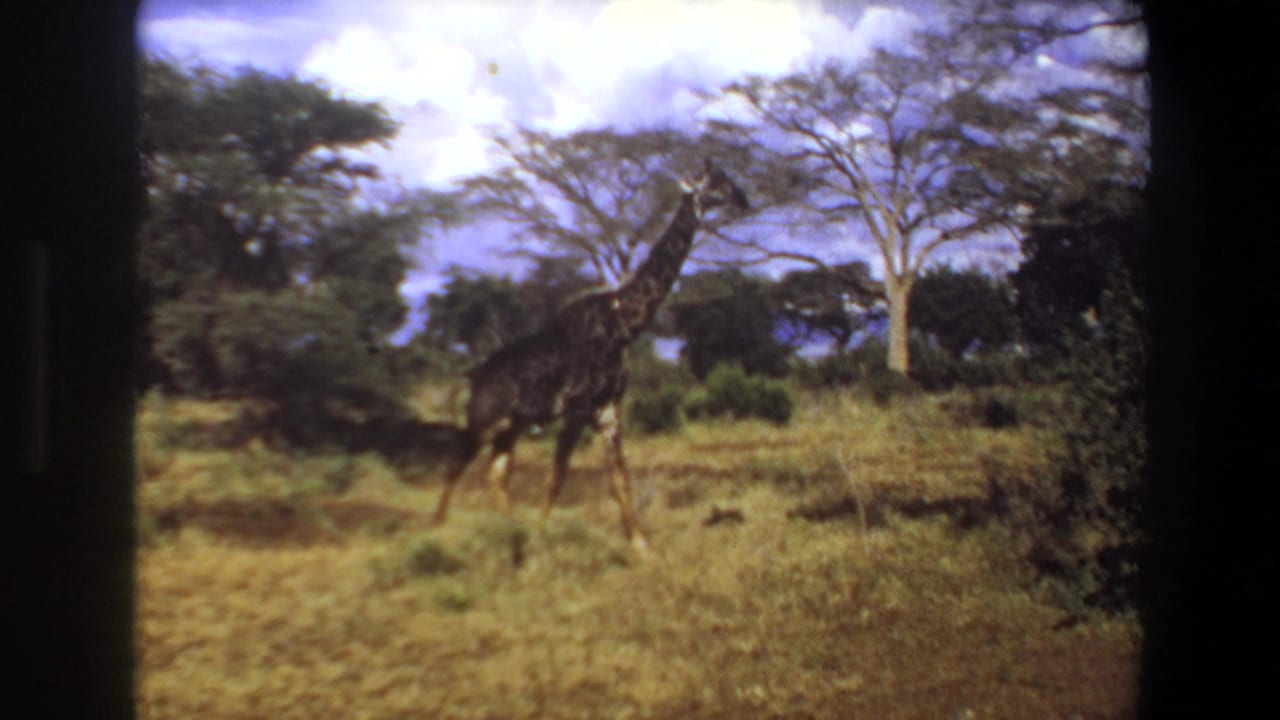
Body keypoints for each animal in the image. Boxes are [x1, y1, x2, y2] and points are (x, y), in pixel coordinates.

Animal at [430, 159, 749, 552]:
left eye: (727, 178)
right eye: (714, 182)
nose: (743, 198)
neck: (624, 324)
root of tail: (471, 376)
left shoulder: (609, 408)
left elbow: (619, 479)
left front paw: (642, 547)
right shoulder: (577, 407)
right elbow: (558, 476)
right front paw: (541, 541)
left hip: (510, 425)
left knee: (496, 472)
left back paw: (511, 531)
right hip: (484, 420)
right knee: (455, 465)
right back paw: (437, 531)